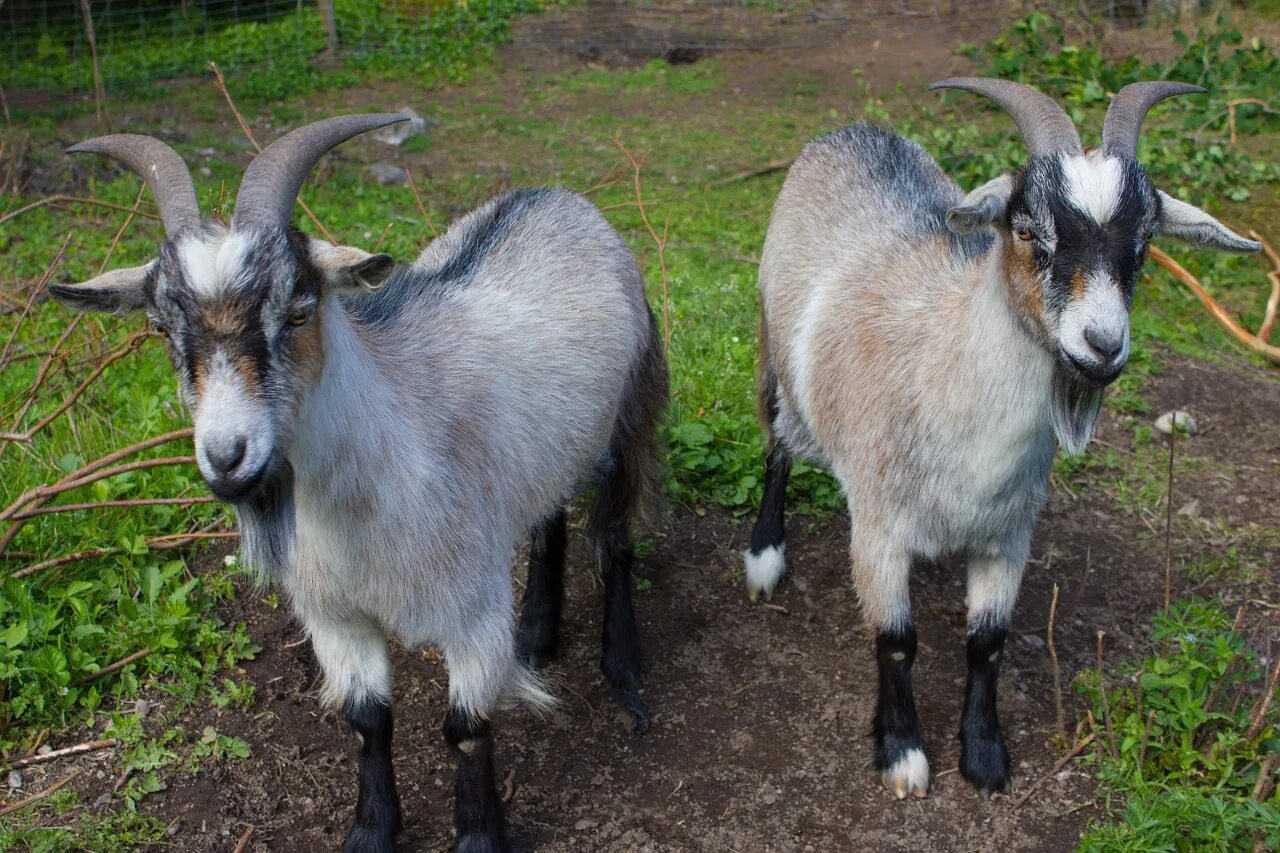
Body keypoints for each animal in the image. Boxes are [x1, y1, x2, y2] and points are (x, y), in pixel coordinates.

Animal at [49, 114, 670, 850]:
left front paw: (479, 836)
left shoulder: (471, 605)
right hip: (548, 448)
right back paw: (539, 635)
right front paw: (371, 831)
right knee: (549, 519)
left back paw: (623, 672)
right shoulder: (334, 615)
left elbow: (465, 729)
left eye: (298, 310)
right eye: (159, 325)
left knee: (613, 539)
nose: (228, 456)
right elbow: (368, 719)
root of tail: (558, 196)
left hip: (628, 415)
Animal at [747, 78, 1254, 799]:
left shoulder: (1008, 536)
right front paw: (902, 754)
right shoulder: (878, 528)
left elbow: (987, 643)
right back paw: (764, 557)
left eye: (1144, 245)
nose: (1103, 345)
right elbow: (896, 638)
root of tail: (855, 130)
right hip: (773, 347)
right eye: (1027, 229)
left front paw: (985, 758)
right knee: (778, 445)